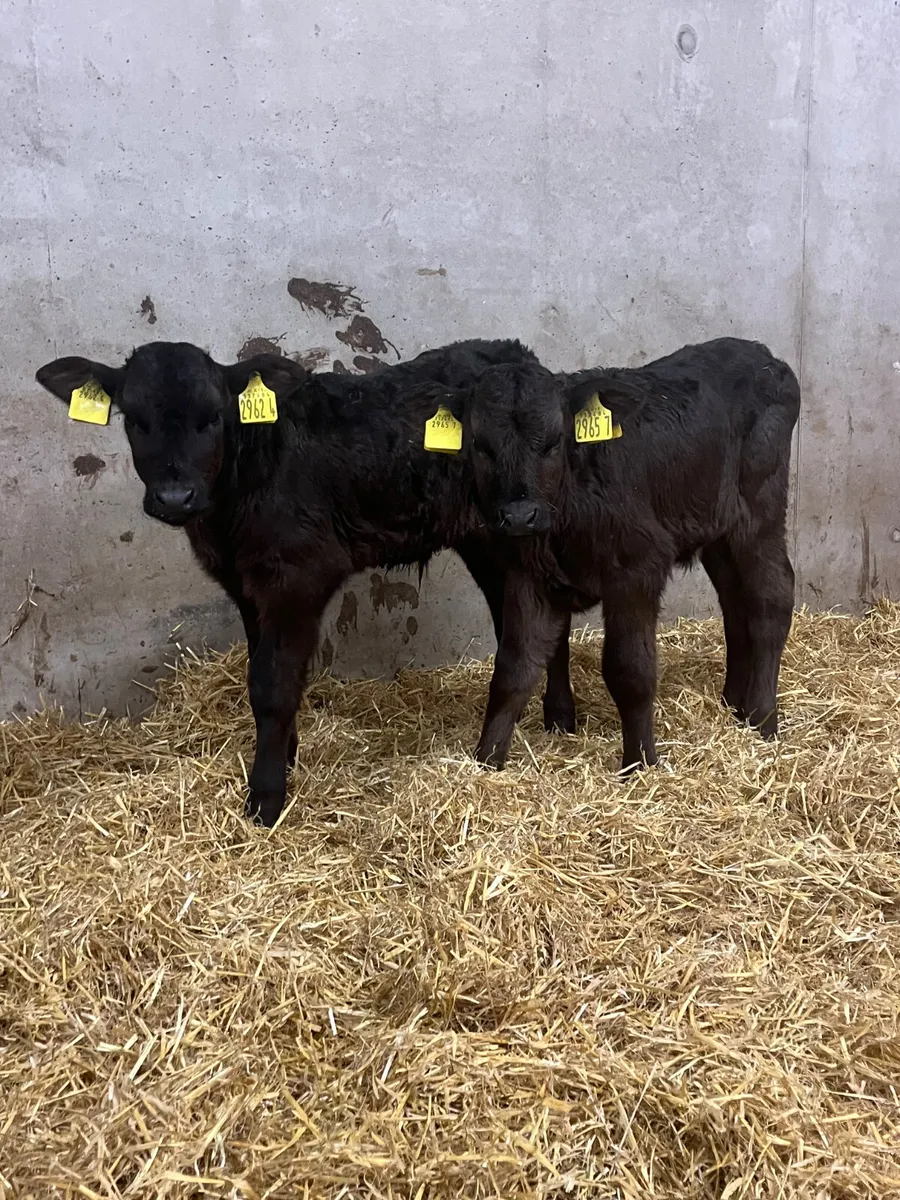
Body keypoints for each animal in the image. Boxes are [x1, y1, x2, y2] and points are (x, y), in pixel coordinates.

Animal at [36, 338, 578, 827]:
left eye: (213, 417)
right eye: (133, 419)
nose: (174, 497)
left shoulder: (297, 577)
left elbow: (273, 682)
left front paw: (266, 797)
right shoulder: (245, 584)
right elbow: (266, 672)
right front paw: (286, 753)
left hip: (510, 532)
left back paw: (556, 716)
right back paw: (558, 720)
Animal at [427, 338, 801, 773]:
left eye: (553, 443)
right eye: (481, 447)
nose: (519, 515)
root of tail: (763, 355)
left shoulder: (637, 568)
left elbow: (630, 670)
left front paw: (640, 763)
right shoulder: (528, 577)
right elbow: (512, 671)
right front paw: (486, 763)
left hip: (759, 510)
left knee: (771, 598)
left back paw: (762, 718)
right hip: (718, 529)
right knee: (733, 601)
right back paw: (733, 704)